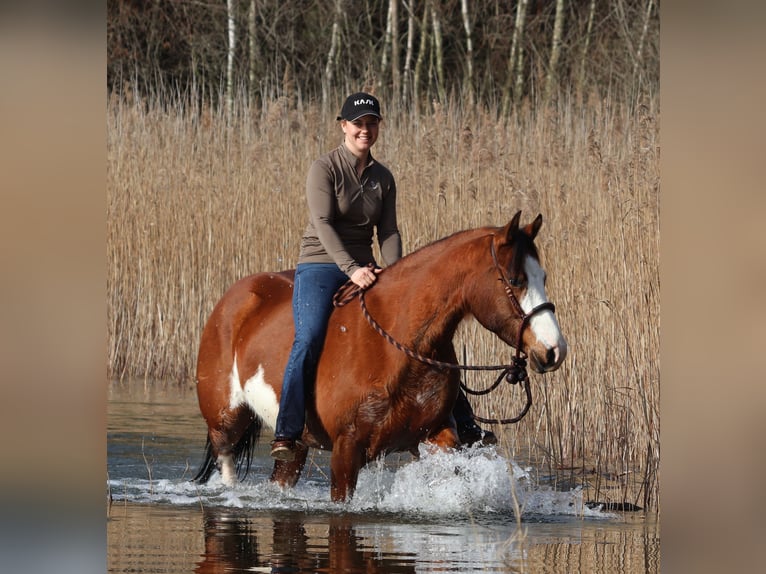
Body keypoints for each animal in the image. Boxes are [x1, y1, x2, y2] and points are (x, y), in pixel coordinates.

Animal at [193, 211, 568, 501]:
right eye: (515, 280)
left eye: (544, 277)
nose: (554, 350)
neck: (400, 345)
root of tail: (232, 299)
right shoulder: (346, 448)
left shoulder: (435, 434)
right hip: (226, 420)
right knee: (226, 459)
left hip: (296, 449)